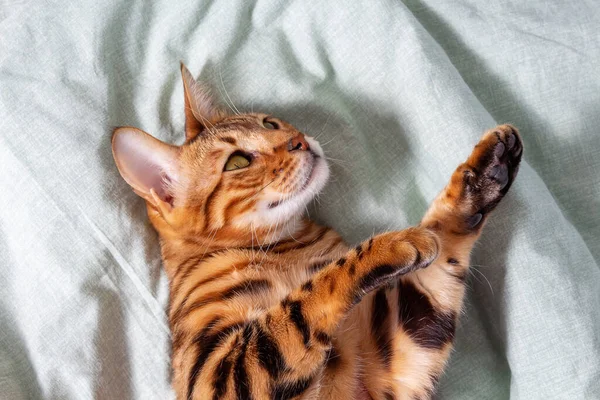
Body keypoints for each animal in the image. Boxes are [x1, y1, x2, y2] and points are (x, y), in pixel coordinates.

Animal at [110, 64, 524, 398]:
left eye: (269, 123)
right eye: (238, 161)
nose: (299, 140)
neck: (285, 245)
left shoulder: (395, 364)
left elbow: (443, 246)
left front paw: (484, 173)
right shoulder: (217, 373)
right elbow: (309, 295)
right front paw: (392, 243)